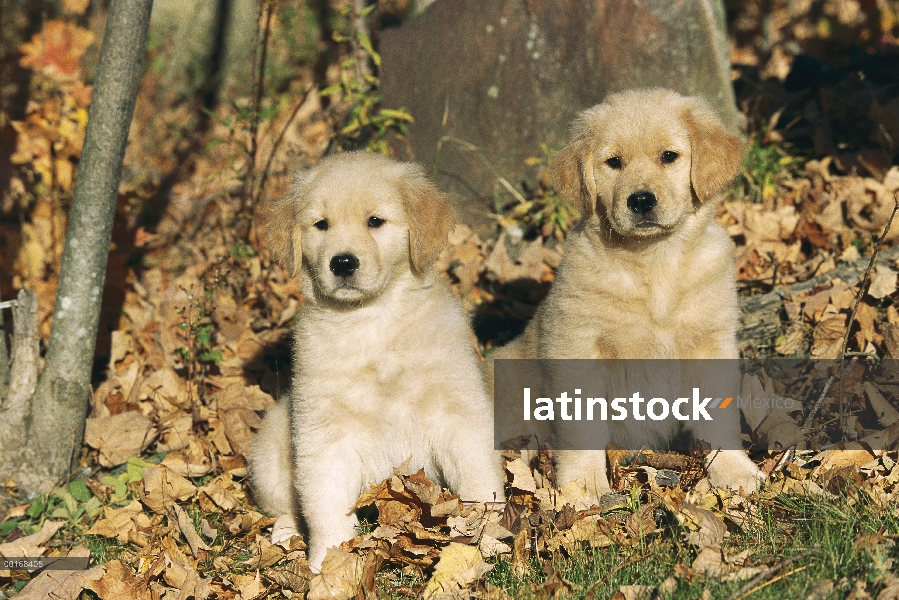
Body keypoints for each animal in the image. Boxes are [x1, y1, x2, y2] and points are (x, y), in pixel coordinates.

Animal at [250, 152, 506, 568]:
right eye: (321, 225)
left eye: (375, 221)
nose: (342, 263)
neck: (374, 321)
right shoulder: (324, 431)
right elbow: (325, 502)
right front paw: (329, 562)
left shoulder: (458, 411)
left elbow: (479, 476)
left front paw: (487, 534)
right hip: (272, 447)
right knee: (285, 505)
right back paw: (286, 535)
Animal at [486, 86, 768, 494]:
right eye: (614, 162)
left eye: (668, 156)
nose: (641, 200)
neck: (653, 262)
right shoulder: (577, 347)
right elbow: (582, 430)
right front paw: (584, 486)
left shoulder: (710, 341)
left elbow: (719, 416)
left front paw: (734, 471)